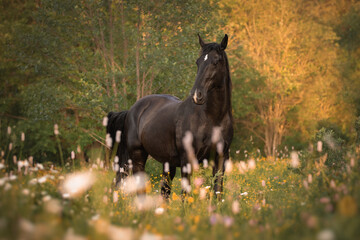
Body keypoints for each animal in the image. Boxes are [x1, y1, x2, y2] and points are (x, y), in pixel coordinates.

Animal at [107, 34, 233, 199]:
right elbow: (185, 195)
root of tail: (131, 110)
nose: (197, 95)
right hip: (137, 157)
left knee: (164, 191)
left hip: (168, 163)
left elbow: (217, 192)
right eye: (198, 61)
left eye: (216, 61)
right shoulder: (187, 162)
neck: (212, 119)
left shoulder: (220, 160)